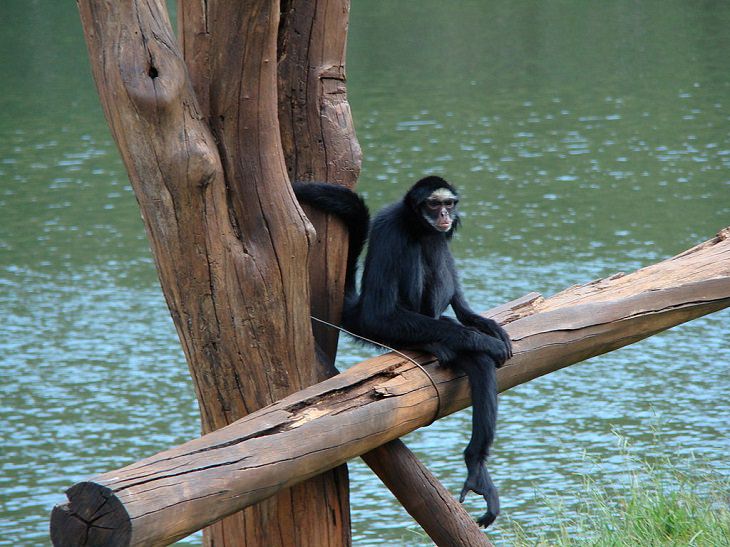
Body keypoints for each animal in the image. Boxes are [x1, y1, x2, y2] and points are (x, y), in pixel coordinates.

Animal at [292, 176, 510, 528]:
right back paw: (431, 343)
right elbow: (381, 313)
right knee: (418, 256)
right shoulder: (394, 229)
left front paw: (484, 324)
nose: (445, 216)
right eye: (434, 205)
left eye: (448, 204)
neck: (416, 223)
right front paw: (486, 341)